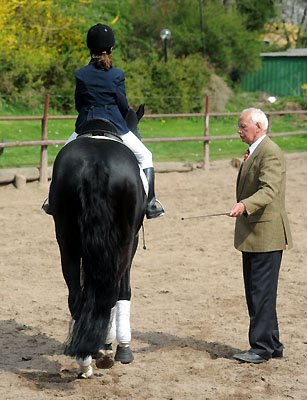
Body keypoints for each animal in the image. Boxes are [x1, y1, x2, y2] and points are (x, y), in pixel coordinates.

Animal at [49, 108, 147, 376]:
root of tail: (96, 163)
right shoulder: (132, 241)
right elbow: (124, 290)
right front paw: (120, 346)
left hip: (67, 241)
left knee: (76, 296)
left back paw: (84, 362)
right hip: (123, 241)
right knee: (110, 292)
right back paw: (104, 352)